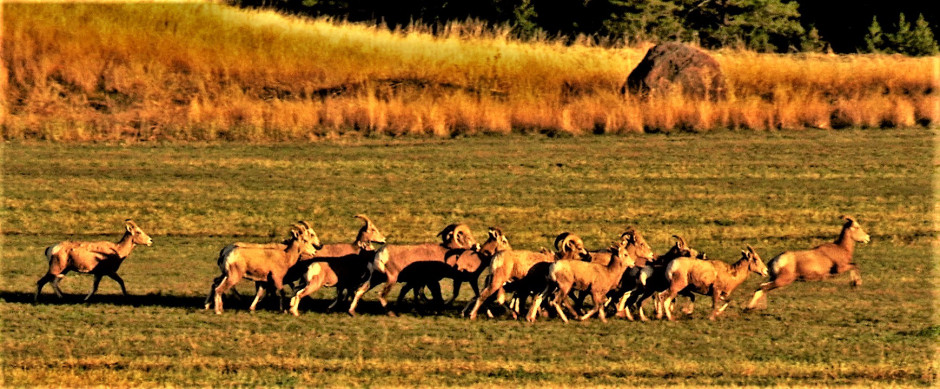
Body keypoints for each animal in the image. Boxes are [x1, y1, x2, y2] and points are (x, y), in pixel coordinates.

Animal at [346, 221, 478, 316]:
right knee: (381, 295)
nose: (477, 246)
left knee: (360, 290)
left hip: (376, 278)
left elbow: (411, 293)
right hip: (391, 279)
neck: (443, 252)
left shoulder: (416, 282)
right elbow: (436, 295)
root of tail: (381, 253)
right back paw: (391, 313)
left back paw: (352, 312)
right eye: (467, 237)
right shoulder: (430, 281)